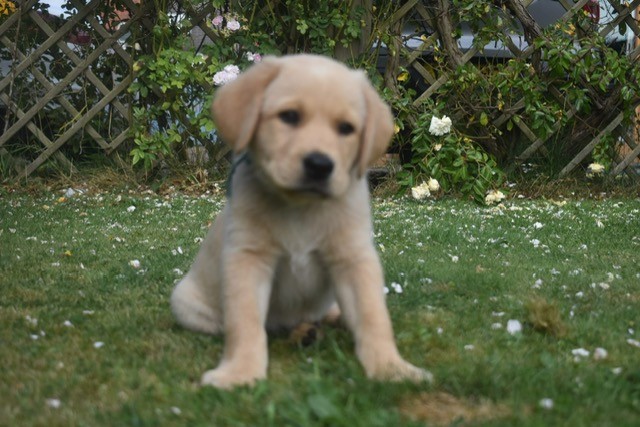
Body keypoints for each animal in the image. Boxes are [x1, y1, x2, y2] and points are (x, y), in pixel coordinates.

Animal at [171, 52, 430, 388]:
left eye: (346, 128)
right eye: (289, 116)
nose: (319, 165)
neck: (301, 208)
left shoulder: (354, 258)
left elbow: (373, 316)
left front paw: (391, 368)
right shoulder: (248, 259)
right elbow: (245, 323)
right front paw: (240, 372)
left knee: (328, 311)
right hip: (186, 302)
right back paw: (303, 331)